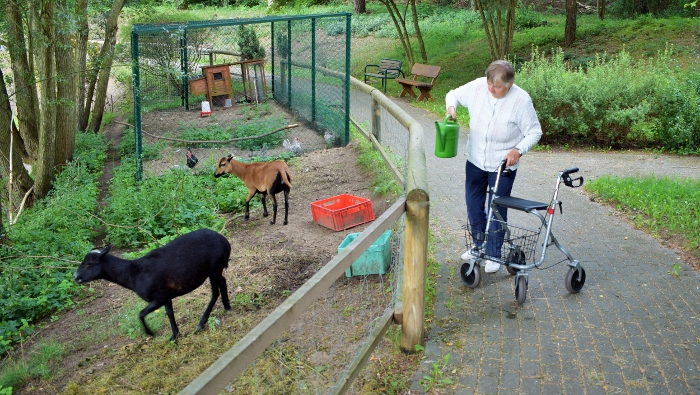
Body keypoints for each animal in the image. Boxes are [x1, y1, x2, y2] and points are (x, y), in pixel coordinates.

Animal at [75, 229, 231, 340]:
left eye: (88, 264)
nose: (75, 277)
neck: (133, 273)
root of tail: (226, 242)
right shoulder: (166, 295)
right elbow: (169, 313)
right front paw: (174, 335)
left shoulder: (158, 297)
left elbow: (141, 314)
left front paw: (150, 333)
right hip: (215, 270)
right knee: (222, 282)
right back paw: (227, 306)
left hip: (214, 268)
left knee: (215, 291)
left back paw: (201, 323)